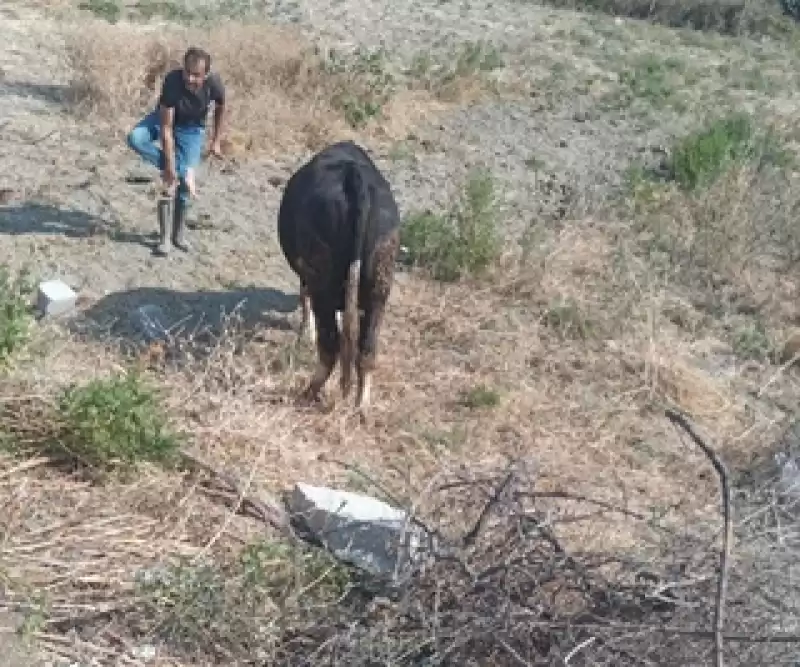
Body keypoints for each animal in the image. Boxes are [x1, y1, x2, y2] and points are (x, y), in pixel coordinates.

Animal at [278, 142, 404, 412]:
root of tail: (353, 177)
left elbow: (305, 299)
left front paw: (305, 332)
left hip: (321, 279)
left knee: (330, 346)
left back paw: (308, 393)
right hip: (380, 283)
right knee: (366, 349)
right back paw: (361, 406)